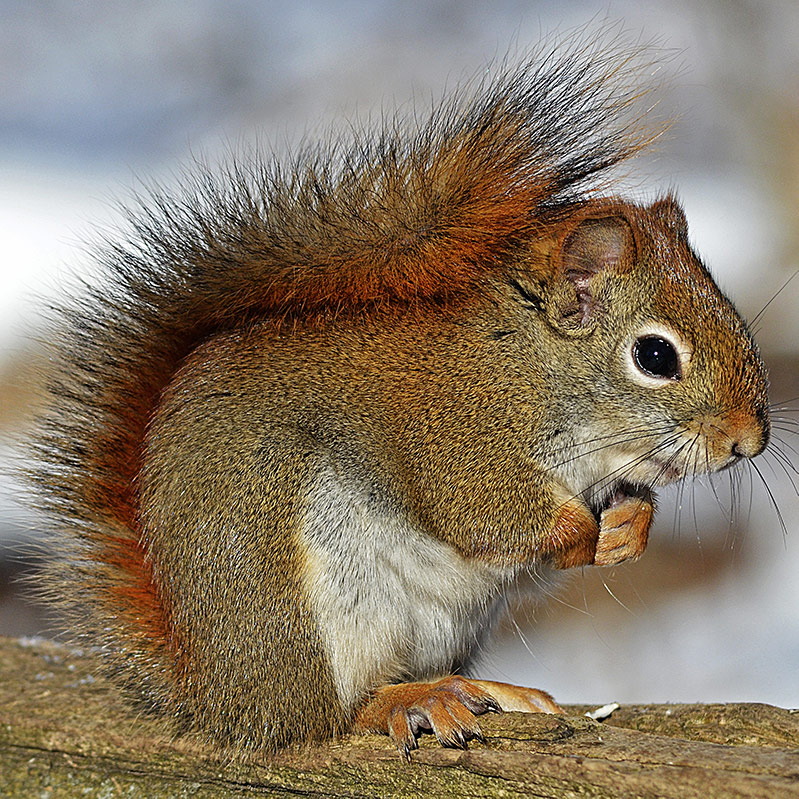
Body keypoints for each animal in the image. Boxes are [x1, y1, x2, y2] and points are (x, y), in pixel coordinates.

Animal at [28, 29, 772, 756]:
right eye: (655, 356)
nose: (749, 440)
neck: (533, 365)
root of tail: (216, 691)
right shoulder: (455, 433)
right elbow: (482, 512)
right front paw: (583, 530)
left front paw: (629, 527)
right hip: (314, 606)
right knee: (328, 715)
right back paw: (408, 700)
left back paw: (488, 690)